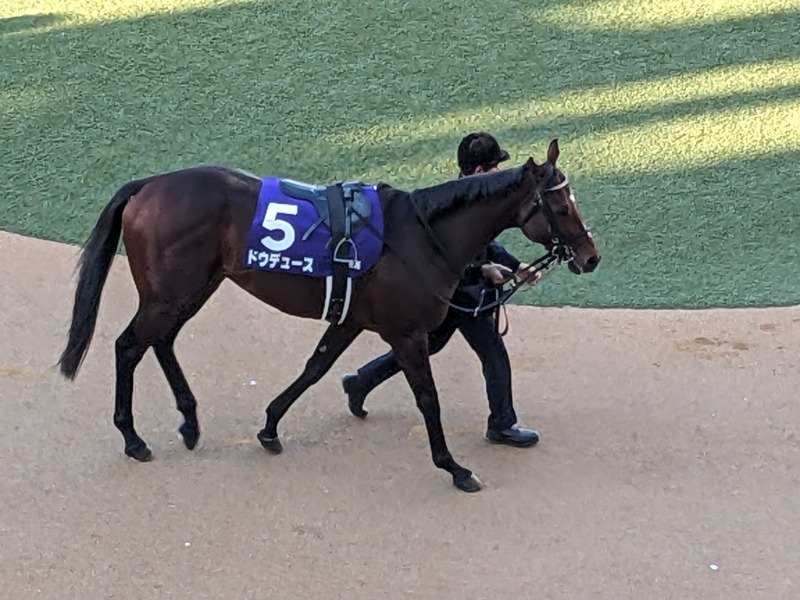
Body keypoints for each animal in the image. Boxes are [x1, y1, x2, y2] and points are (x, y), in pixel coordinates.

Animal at [57, 139, 600, 492]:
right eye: (561, 205)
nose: (591, 256)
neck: (419, 237)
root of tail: (147, 185)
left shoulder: (352, 318)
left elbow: (315, 368)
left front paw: (271, 427)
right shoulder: (407, 333)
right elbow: (428, 399)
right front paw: (454, 468)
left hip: (194, 287)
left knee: (162, 341)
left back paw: (190, 423)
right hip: (168, 294)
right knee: (129, 345)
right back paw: (133, 438)